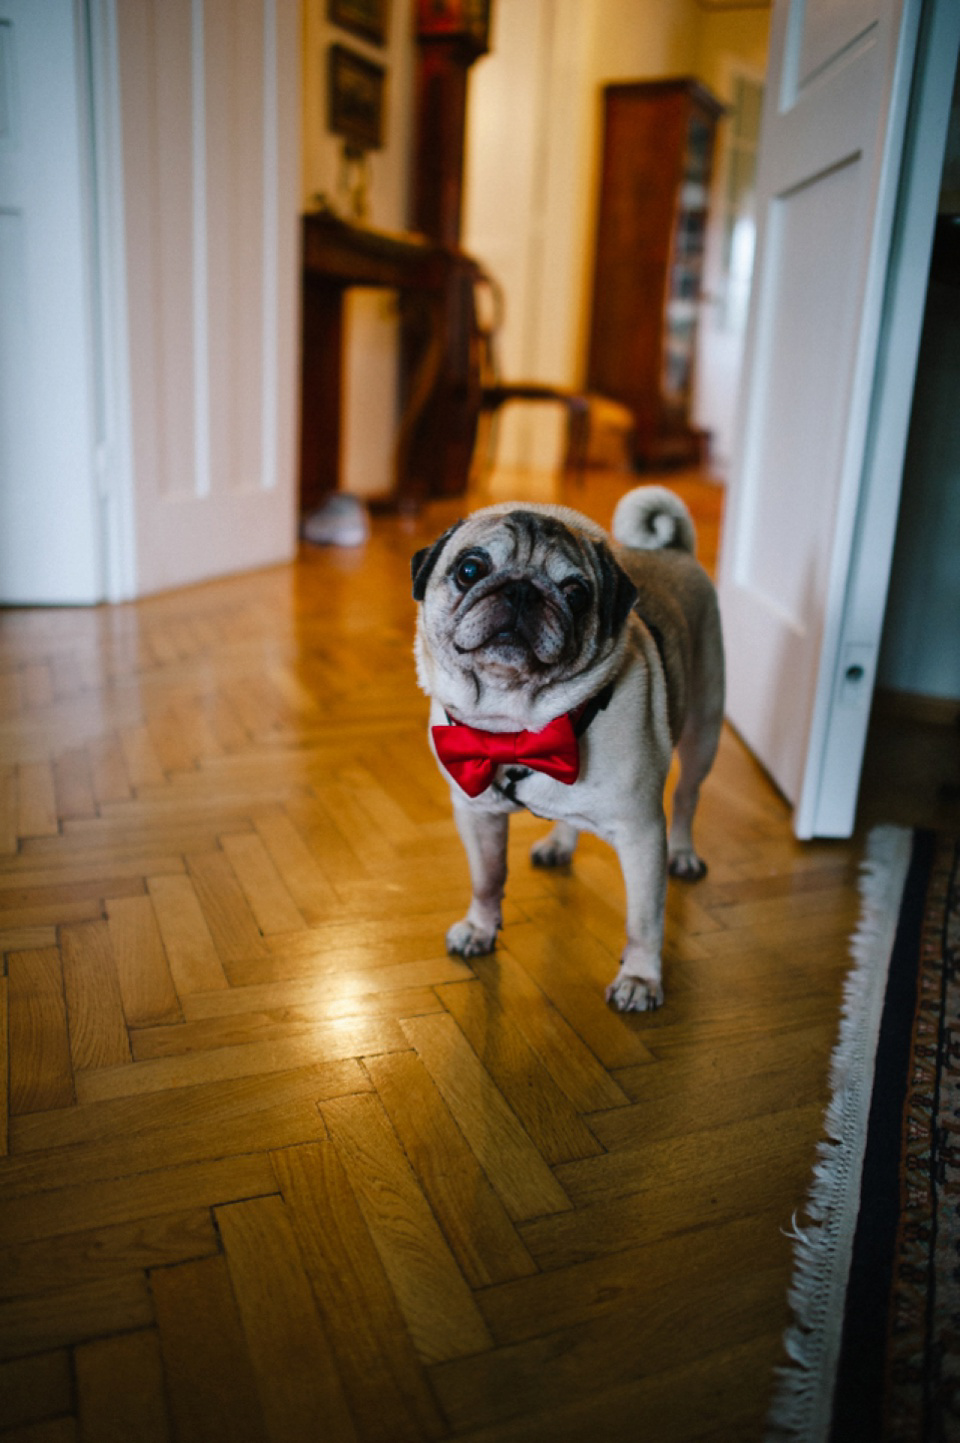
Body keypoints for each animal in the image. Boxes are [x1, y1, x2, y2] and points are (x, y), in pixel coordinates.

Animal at [407, 490, 721, 1010]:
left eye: (576, 594)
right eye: (470, 569)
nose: (521, 591)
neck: (518, 727)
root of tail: (673, 549)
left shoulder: (641, 835)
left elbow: (644, 920)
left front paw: (641, 978)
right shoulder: (477, 813)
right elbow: (487, 878)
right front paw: (479, 928)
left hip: (704, 730)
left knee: (688, 796)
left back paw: (684, 853)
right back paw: (559, 844)